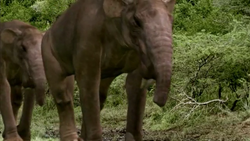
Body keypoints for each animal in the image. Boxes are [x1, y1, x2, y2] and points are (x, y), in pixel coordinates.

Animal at [40, 0, 174, 140]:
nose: (157, 101)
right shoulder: (87, 38)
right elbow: (88, 83)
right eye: (136, 21)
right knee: (63, 95)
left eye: (171, 20)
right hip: (48, 52)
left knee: (100, 96)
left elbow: (134, 84)